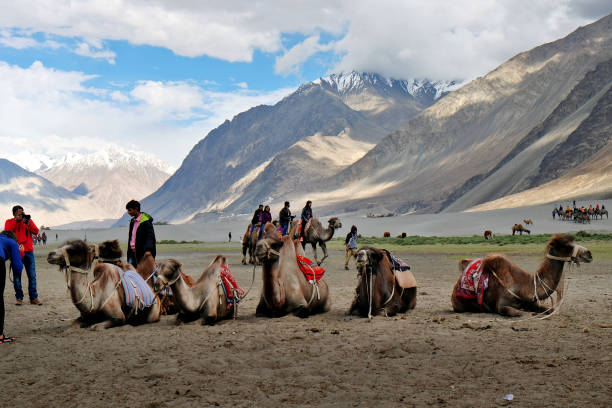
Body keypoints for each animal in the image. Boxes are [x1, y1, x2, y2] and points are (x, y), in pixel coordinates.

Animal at [452, 233, 592, 316]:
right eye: (568, 246)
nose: (589, 254)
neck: (523, 286)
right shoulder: (501, 306)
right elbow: (524, 313)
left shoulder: (532, 302)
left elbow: (550, 309)